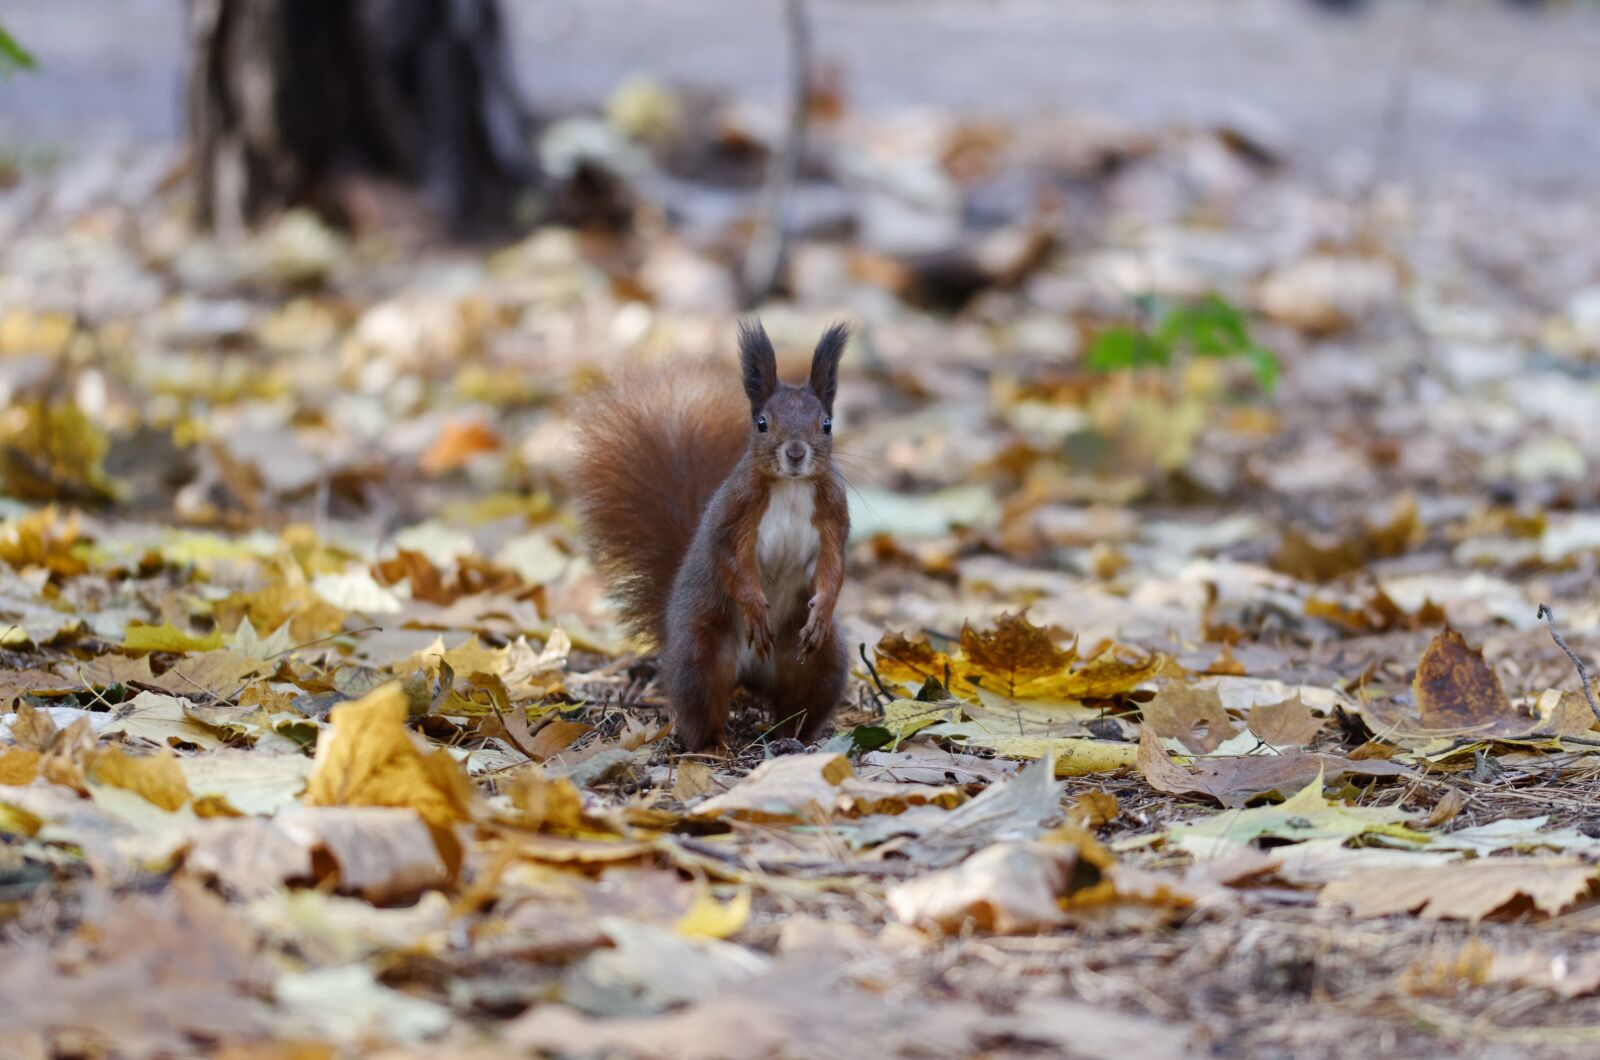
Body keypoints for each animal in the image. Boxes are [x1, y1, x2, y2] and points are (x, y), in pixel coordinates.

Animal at [572, 321, 852, 750]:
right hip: (700, 654)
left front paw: (822, 609)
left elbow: (834, 564)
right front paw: (755, 609)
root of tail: (751, 675)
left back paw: (794, 738)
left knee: (801, 702)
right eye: (762, 423)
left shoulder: (834, 515)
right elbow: (731, 561)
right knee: (700, 706)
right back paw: (714, 748)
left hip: (821, 662)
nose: (795, 453)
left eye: (826, 424)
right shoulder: (732, 515)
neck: (791, 487)